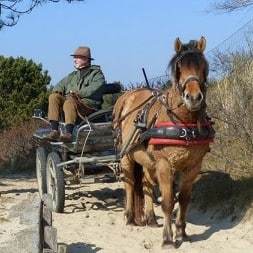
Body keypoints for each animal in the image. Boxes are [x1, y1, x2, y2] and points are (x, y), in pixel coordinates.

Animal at [112, 36, 213, 247]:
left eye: (203, 66)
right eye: (179, 67)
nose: (193, 97)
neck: (183, 122)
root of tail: (127, 96)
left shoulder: (193, 166)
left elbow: (184, 200)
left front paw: (182, 232)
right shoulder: (164, 164)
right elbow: (168, 201)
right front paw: (167, 238)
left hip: (147, 160)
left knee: (146, 184)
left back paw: (150, 218)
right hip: (127, 157)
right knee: (130, 183)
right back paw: (129, 216)